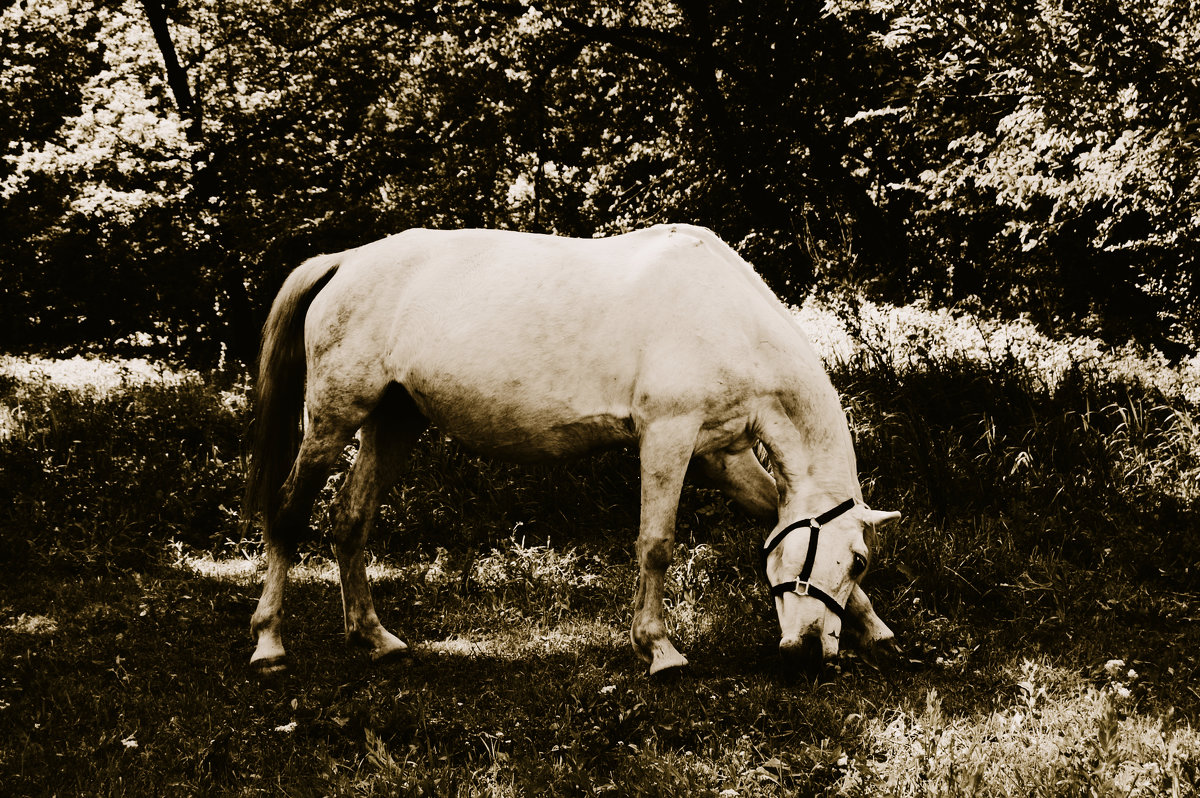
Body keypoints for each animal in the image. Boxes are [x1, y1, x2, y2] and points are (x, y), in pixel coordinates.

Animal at [246, 222, 902, 672]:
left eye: (859, 564)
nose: (811, 649)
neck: (725, 316)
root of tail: (346, 261)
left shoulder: (723, 455)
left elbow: (771, 518)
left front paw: (874, 627)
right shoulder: (668, 437)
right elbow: (656, 545)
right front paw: (659, 650)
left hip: (392, 423)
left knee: (349, 520)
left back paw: (375, 637)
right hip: (332, 422)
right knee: (288, 515)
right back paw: (270, 642)